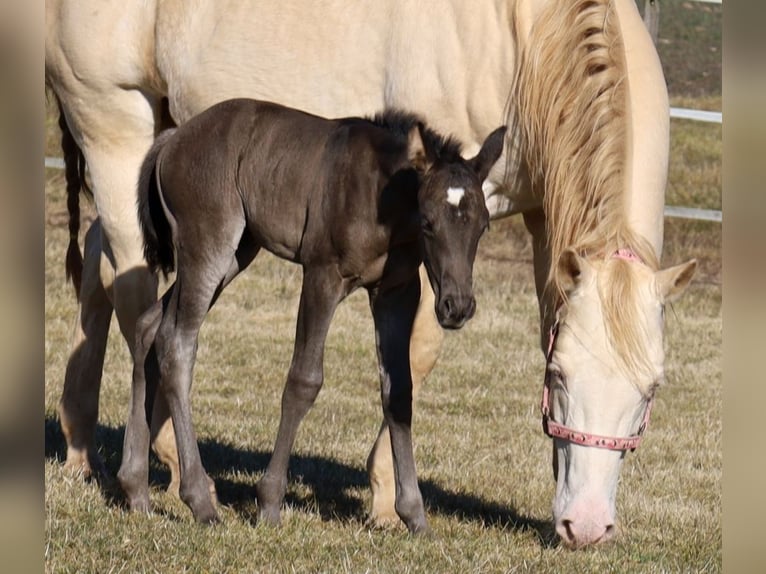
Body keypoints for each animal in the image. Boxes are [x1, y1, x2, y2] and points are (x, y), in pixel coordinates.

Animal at [117, 99, 508, 536]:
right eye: (428, 222)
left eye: (483, 226)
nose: (457, 307)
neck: (382, 200)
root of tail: (172, 140)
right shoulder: (322, 274)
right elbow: (304, 380)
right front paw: (270, 503)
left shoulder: (397, 291)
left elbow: (399, 390)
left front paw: (414, 515)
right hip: (209, 245)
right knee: (177, 342)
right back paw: (200, 501)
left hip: (237, 253)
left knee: (149, 326)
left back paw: (135, 490)